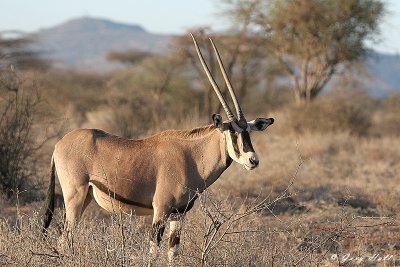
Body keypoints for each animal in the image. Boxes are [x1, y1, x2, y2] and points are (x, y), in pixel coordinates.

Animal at [42, 34, 274, 264]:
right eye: (232, 132)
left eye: (249, 132)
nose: (253, 160)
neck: (192, 157)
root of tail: (59, 144)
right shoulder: (160, 211)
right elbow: (153, 253)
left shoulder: (179, 214)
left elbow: (173, 252)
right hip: (75, 196)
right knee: (65, 238)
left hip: (86, 197)